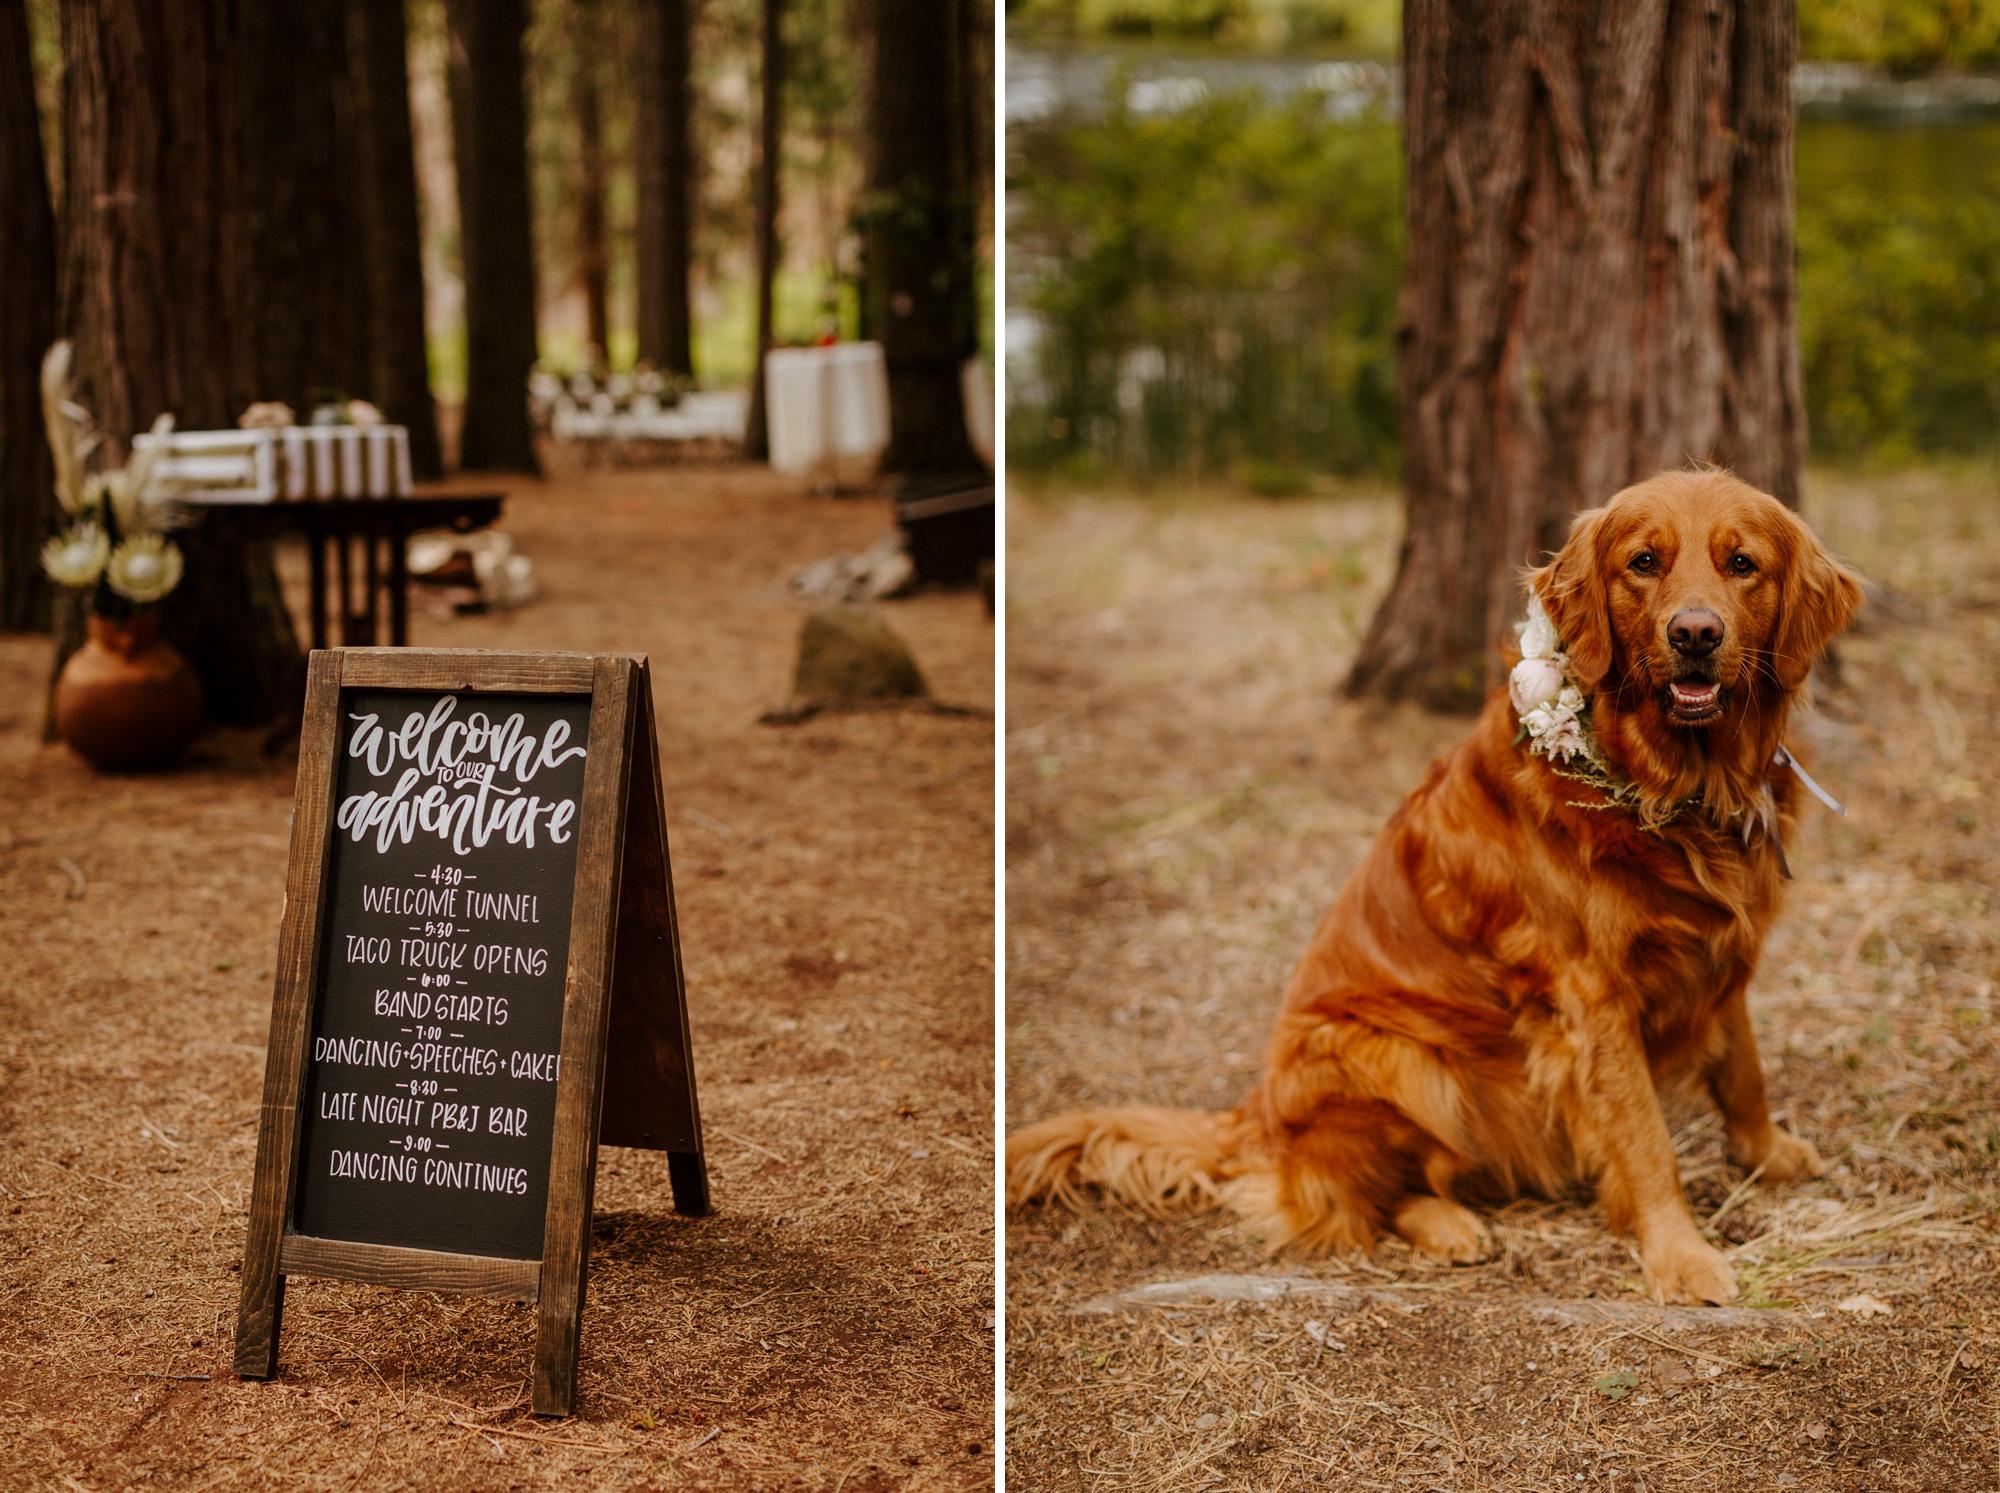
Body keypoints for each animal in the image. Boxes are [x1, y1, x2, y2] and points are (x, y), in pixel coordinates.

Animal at [1008, 468, 1864, 1304]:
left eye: (1742, 563)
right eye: (1644, 562)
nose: (1694, 634)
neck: (1672, 786)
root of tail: (1255, 1115)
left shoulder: (1721, 946)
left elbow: (1744, 1067)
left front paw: (1767, 1151)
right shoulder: (1593, 998)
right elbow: (1644, 1135)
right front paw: (1681, 1256)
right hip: (1396, 1054)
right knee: (1347, 1197)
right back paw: (1448, 1223)